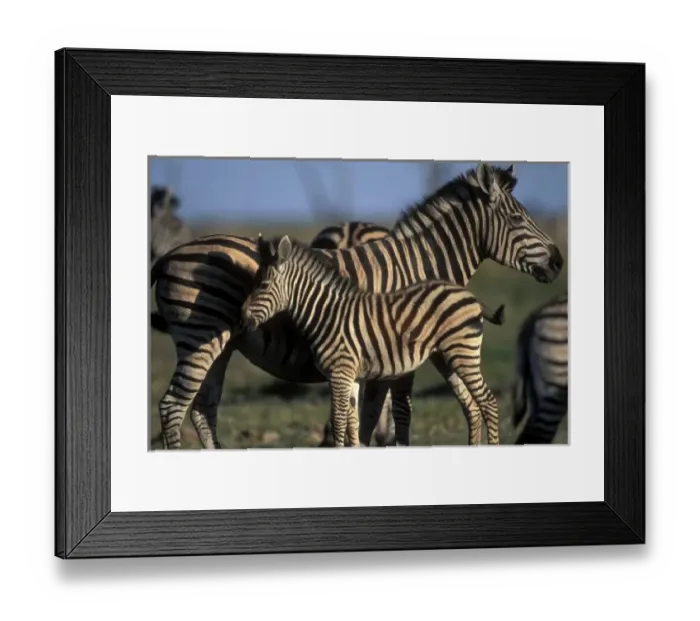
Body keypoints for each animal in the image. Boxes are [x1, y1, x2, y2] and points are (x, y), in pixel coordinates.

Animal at [241, 234, 506, 447]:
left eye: (263, 285)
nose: (242, 317)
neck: (327, 314)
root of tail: (469, 295)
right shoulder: (352, 376)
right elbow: (353, 424)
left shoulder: (339, 373)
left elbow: (338, 422)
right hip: (445, 357)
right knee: (473, 406)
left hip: (464, 353)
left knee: (489, 403)